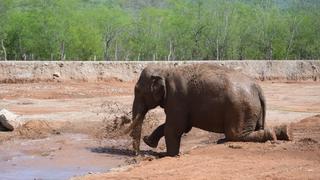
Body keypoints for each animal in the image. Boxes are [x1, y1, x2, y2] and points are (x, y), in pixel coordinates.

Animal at [125, 63, 292, 156]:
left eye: (138, 91)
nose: (136, 155)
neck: (165, 70)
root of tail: (258, 88)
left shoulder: (177, 98)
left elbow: (174, 128)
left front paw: (168, 155)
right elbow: (178, 126)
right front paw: (149, 142)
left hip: (241, 109)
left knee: (236, 134)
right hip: (252, 110)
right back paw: (284, 132)